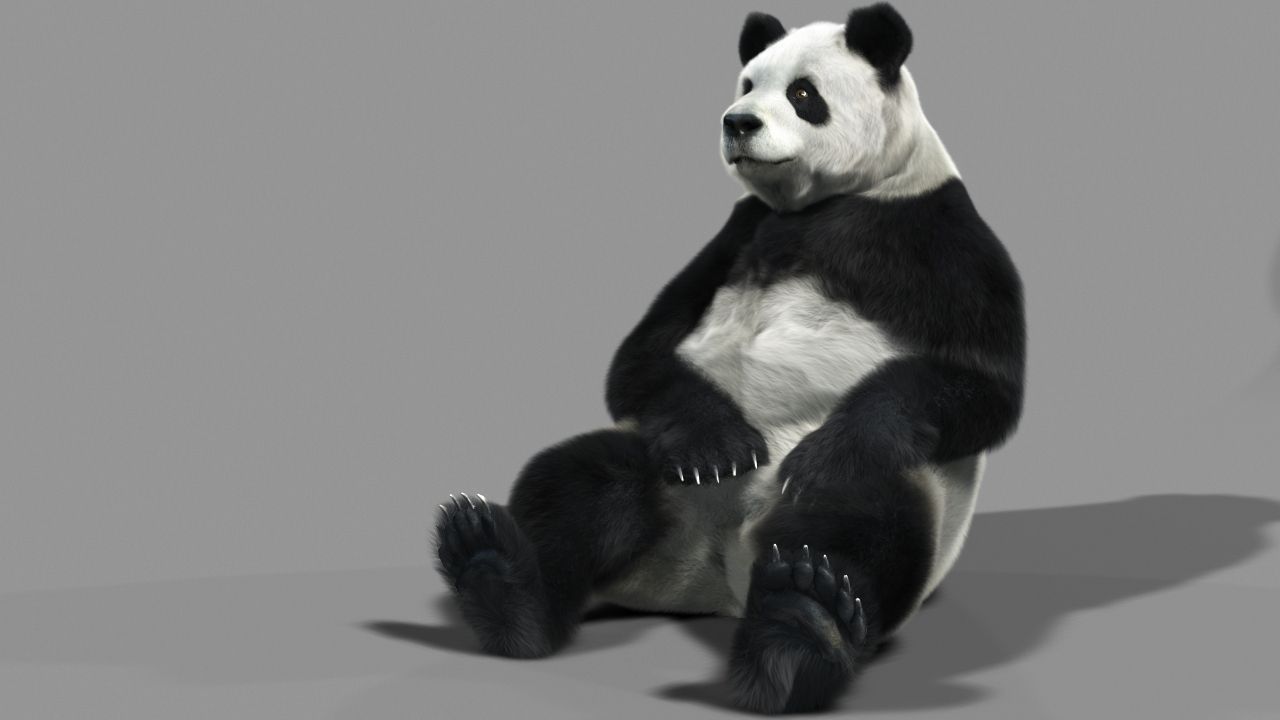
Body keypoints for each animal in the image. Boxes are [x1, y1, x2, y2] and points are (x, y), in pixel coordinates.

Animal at [433, 3, 1025, 714]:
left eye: (803, 93)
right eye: (747, 83)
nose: (738, 122)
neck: (825, 201)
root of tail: (720, 573)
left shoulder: (938, 235)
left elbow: (982, 383)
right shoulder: (735, 234)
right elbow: (641, 355)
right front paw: (717, 446)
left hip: (899, 485)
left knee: (860, 517)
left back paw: (802, 623)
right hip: (657, 467)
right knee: (581, 483)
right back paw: (495, 573)